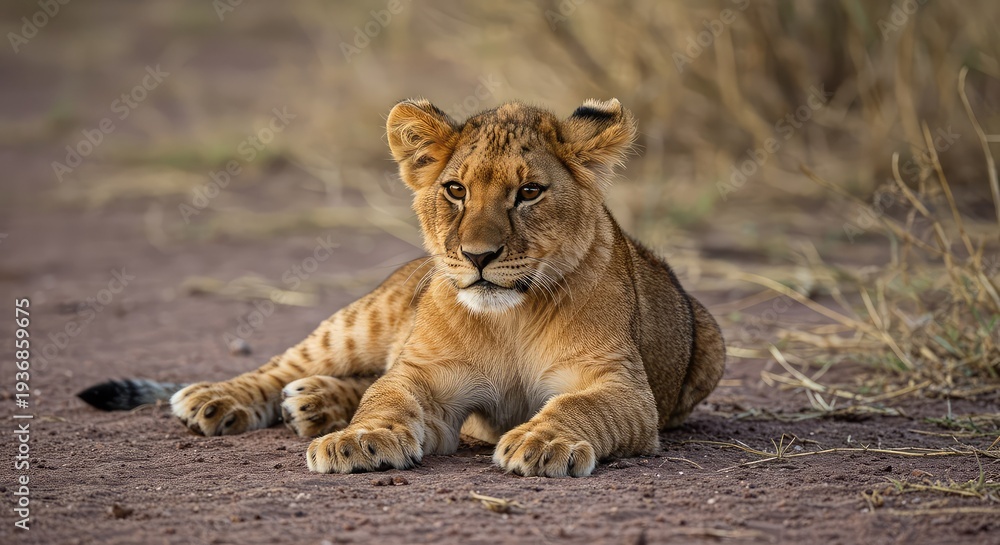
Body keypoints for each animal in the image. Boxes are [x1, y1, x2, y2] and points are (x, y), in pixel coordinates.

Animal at [78, 98, 726, 477]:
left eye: (529, 192)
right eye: (456, 190)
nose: (478, 257)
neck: (510, 316)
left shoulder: (622, 388)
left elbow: (579, 405)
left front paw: (544, 443)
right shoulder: (426, 376)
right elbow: (387, 397)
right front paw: (357, 441)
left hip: (713, 341)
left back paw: (312, 404)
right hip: (360, 320)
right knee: (291, 365)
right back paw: (221, 400)